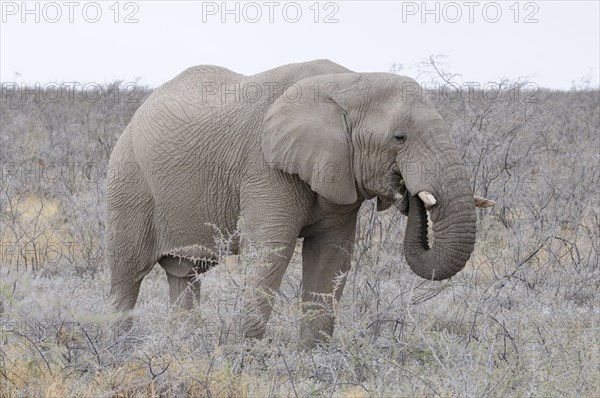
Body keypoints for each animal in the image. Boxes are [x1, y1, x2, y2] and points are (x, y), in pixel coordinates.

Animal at [105, 57, 494, 346]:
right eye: (399, 137)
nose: (408, 196)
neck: (349, 83)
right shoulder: (265, 166)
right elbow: (271, 251)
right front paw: (243, 361)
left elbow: (331, 257)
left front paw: (312, 359)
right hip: (128, 181)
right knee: (128, 272)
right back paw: (118, 351)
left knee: (184, 273)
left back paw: (181, 347)